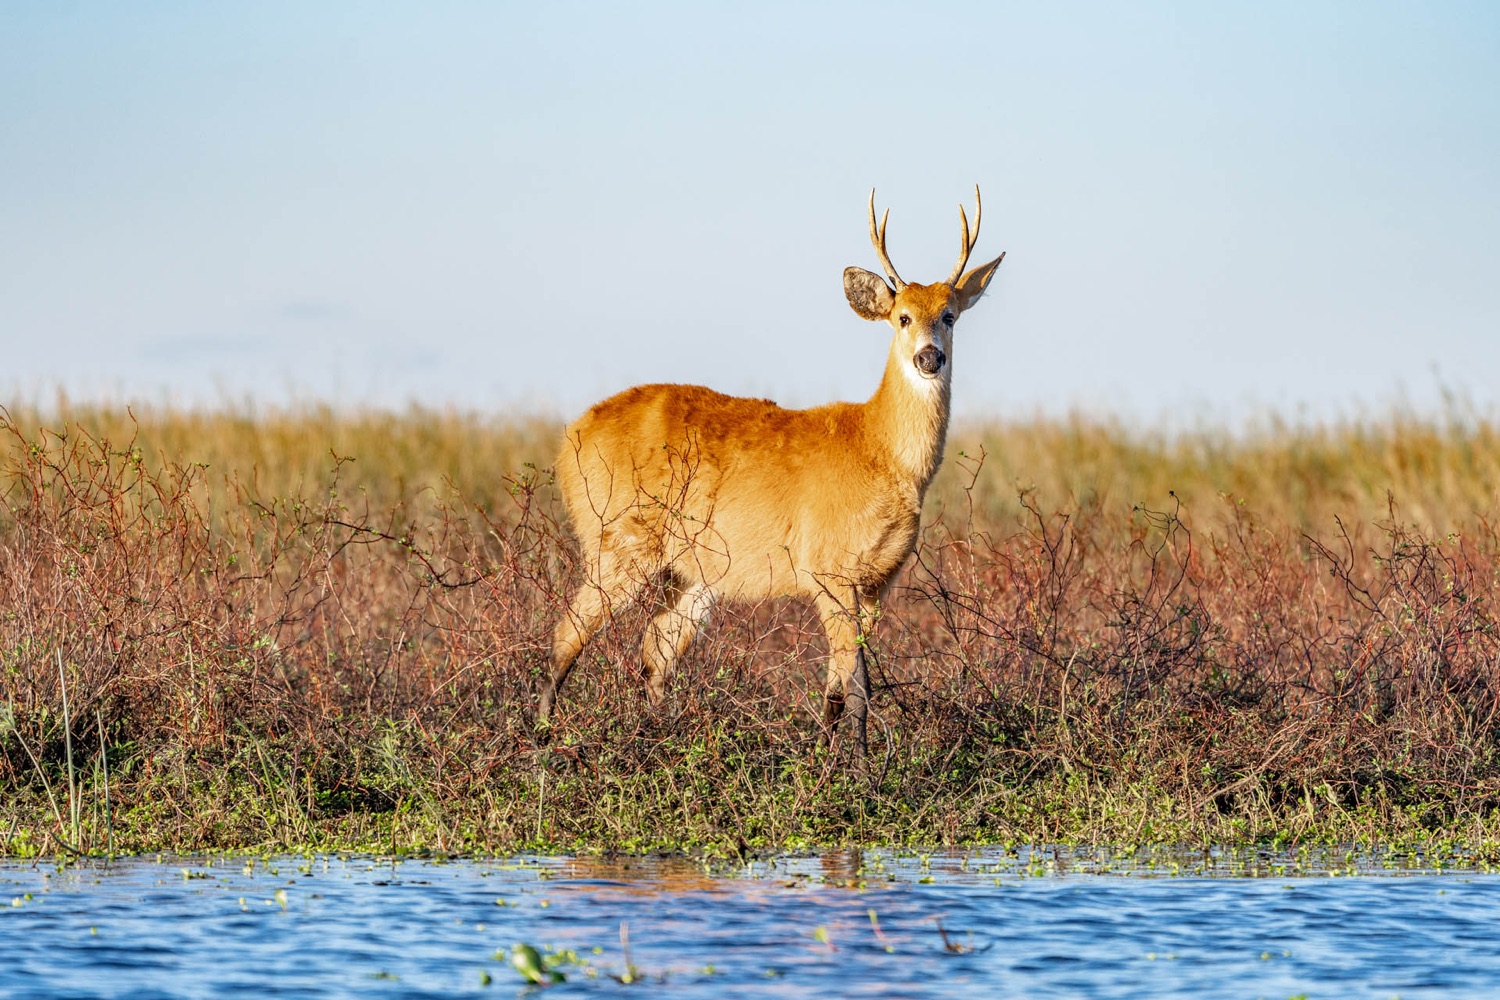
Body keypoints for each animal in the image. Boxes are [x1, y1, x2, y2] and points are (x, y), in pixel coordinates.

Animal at [537, 188, 1005, 756]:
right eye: (902, 317)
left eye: (950, 315)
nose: (930, 358)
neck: (880, 450)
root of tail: (570, 440)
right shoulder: (829, 567)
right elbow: (858, 684)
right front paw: (863, 771)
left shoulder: (878, 581)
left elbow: (836, 686)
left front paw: (826, 763)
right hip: (619, 541)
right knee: (566, 635)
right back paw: (542, 744)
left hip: (691, 574)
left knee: (653, 652)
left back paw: (660, 741)